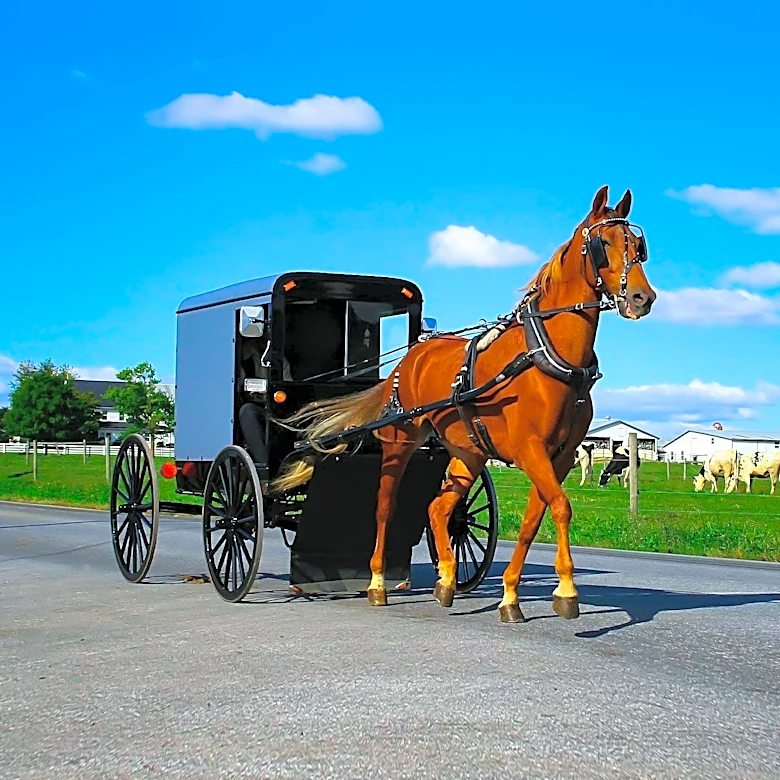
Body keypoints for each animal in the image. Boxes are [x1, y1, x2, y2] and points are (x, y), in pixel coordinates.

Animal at [273, 186, 656, 623]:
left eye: (638, 247)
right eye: (603, 244)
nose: (642, 298)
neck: (547, 358)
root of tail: (410, 356)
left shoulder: (558, 456)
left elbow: (534, 519)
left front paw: (510, 595)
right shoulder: (530, 450)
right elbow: (561, 507)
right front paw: (566, 591)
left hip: (467, 452)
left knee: (439, 508)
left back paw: (446, 580)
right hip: (400, 443)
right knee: (385, 507)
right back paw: (377, 584)